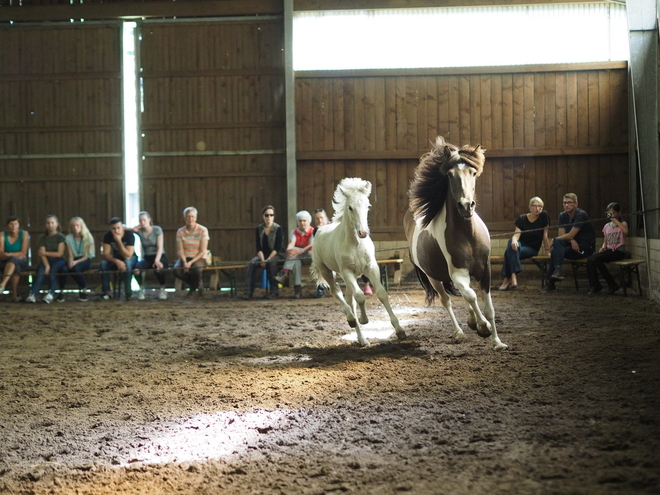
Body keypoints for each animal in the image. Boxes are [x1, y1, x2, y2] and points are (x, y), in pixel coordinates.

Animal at [310, 179, 408, 348]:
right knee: (338, 293)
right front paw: (363, 319)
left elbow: (381, 294)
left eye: (367, 206)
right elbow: (360, 296)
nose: (363, 233)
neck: (355, 244)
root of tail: (320, 230)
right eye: (350, 207)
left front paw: (400, 330)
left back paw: (362, 339)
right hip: (326, 270)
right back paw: (351, 320)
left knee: (350, 299)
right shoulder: (346, 271)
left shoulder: (371, 267)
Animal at [404, 138, 508, 350]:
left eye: (473, 173)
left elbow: (488, 307)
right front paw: (483, 327)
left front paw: (497, 342)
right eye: (450, 175)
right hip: (434, 278)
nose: (466, 206)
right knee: (448, 300)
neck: (468, 235)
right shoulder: (458, 273)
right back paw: (460, 332)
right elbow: (471, 296)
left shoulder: (485, 271)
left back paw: (471, 322)